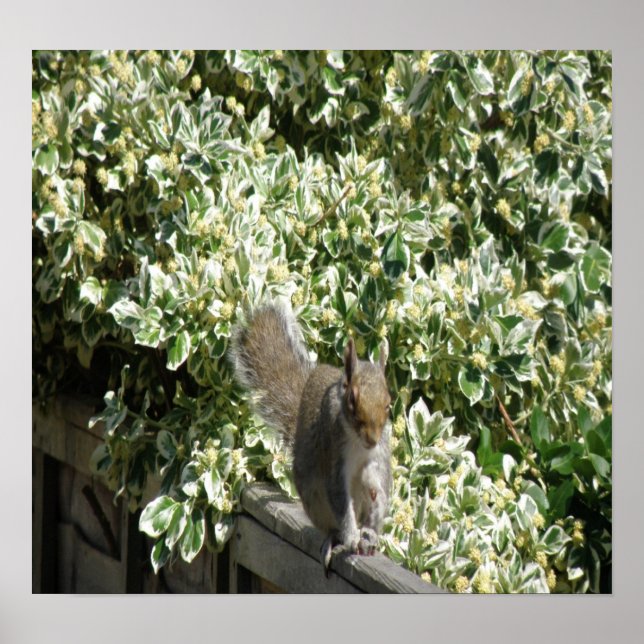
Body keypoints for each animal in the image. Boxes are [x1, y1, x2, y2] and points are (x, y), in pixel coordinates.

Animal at [230, 301, 392, 573]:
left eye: (389, 404)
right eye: (352, 400)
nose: (371, 438)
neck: (359, 443)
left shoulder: (379, 453)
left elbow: (379, 482)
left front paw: (374, 505)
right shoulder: (333, 455)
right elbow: (340, 498)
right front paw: (351, 538)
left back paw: (368, 533)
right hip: (314, 498)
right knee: (332, 526)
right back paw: (336, 539)